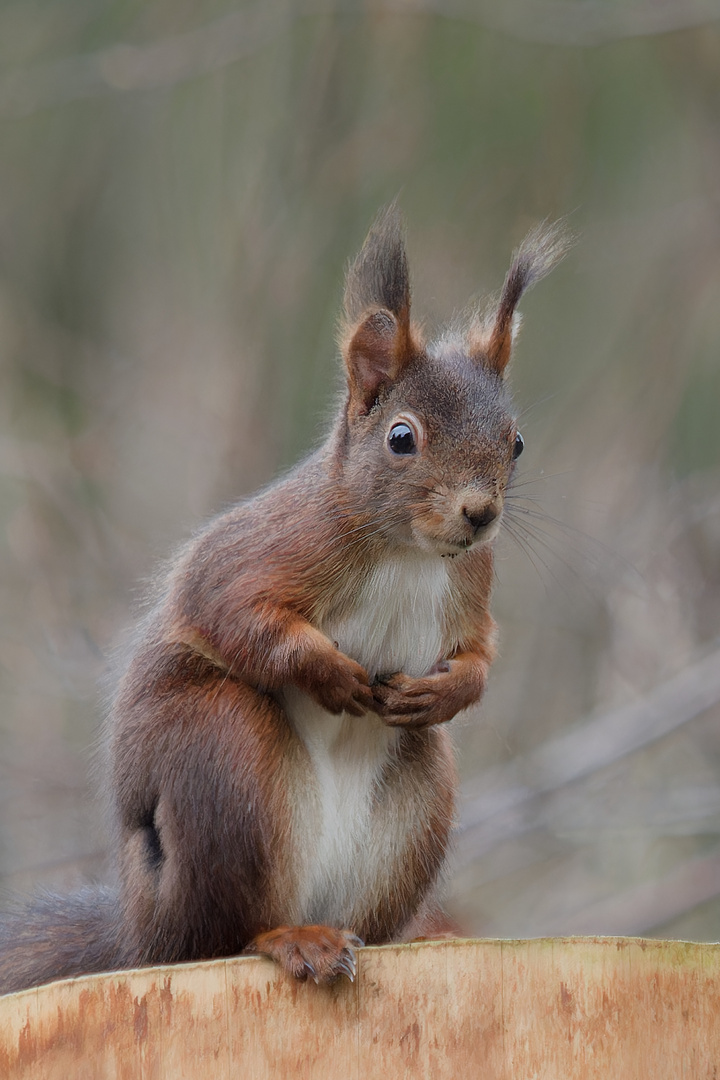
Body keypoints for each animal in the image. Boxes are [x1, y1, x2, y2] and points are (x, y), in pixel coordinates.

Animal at [0, 204, 569, 993]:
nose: (480, 514)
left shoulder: (471, 586)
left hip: (418, 805)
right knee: (223, 936)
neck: (409, 554)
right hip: (223, 757)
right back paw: (289, 938)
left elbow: (479, 654)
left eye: (515, 442)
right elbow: (236, 614)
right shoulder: (264, 552)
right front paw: (331, 674)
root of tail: (140, 939)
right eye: (401, 437)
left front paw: (446, 690)